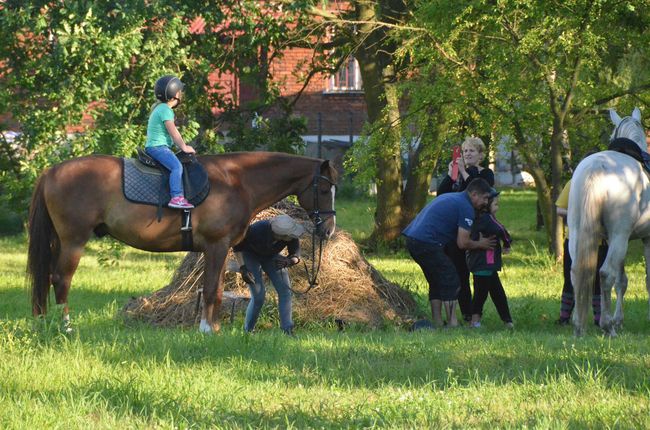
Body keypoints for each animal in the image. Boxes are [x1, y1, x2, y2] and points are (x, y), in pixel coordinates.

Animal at [27, 151, 336, 332]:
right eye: (323, 189)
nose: (329, 229)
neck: (235, 181)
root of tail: (51, 171)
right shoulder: (216, 246)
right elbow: (210, 290)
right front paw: (207, 330)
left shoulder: (222, 249)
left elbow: (218, 290)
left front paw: (214, 329)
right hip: (73, 241)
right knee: (61, 280)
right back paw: (64, 327)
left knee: (46, 278)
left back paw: (44, 322)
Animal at [568, 107, 644, 336]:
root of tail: (596, 166)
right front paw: (617, 321)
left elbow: (622, 280)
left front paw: (619, 320)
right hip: (620, 236)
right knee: (605, 274)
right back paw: (608, 325)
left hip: (577, 232)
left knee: (577, 272)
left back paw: (579, 324)